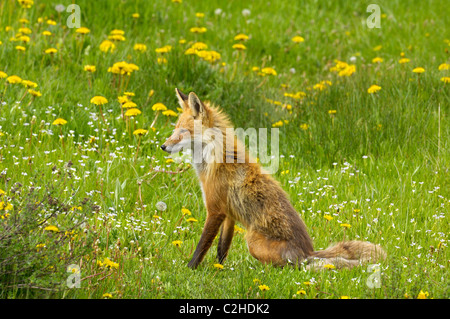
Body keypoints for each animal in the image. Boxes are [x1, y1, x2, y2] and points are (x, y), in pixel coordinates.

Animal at [162, 89, 386, 270]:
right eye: (174, 129)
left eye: (182, 132)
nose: (163, 146)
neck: (213, 157)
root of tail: (307, 252)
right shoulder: (228, 214)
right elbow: (222, 248)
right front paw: (220, 268)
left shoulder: (215, 210)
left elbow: (202, 246)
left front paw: (190, 269)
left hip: (252, 240)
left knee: (293, 267)